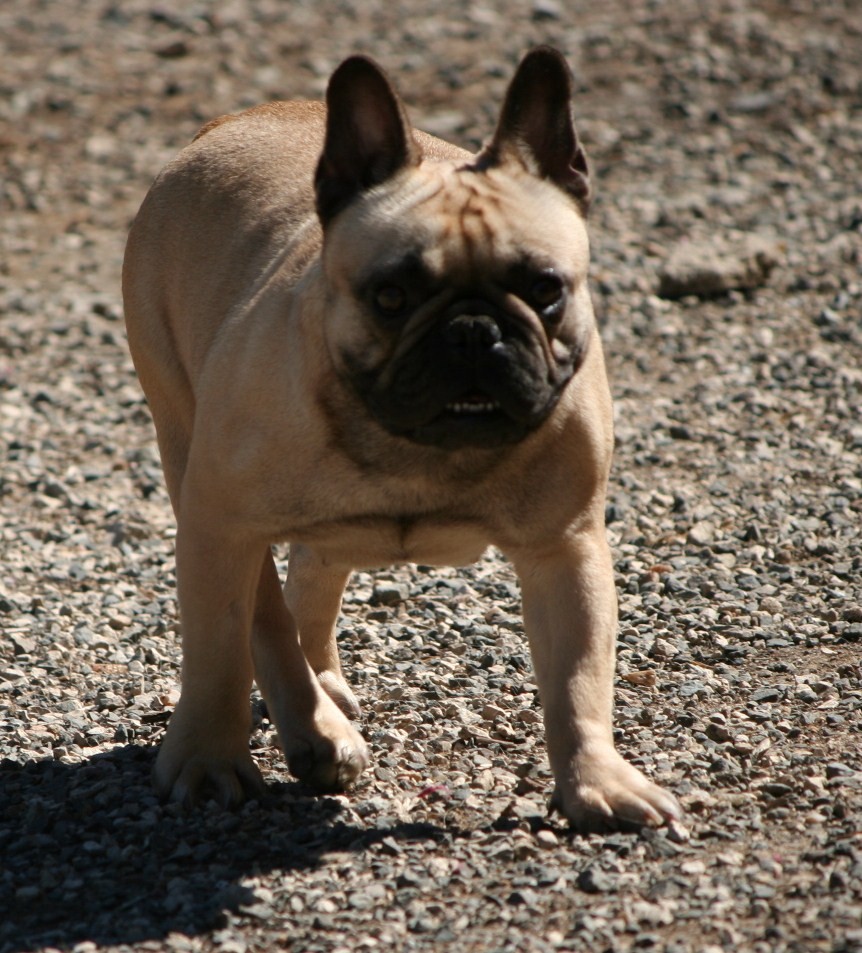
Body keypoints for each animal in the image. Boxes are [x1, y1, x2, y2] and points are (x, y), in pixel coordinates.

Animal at [125, 46, 684, 832]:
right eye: (390, 296)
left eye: (546, 290)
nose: (473, 332)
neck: (419, 448)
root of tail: (228, 122)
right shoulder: (218, 526)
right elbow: (218, 652)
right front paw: (207, 759)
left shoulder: (565, 548)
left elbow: (579, 677)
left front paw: (596, 782)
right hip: (186, 450)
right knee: (263, 615)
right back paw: (316, 727)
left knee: (313, 575)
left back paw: (322, 694)